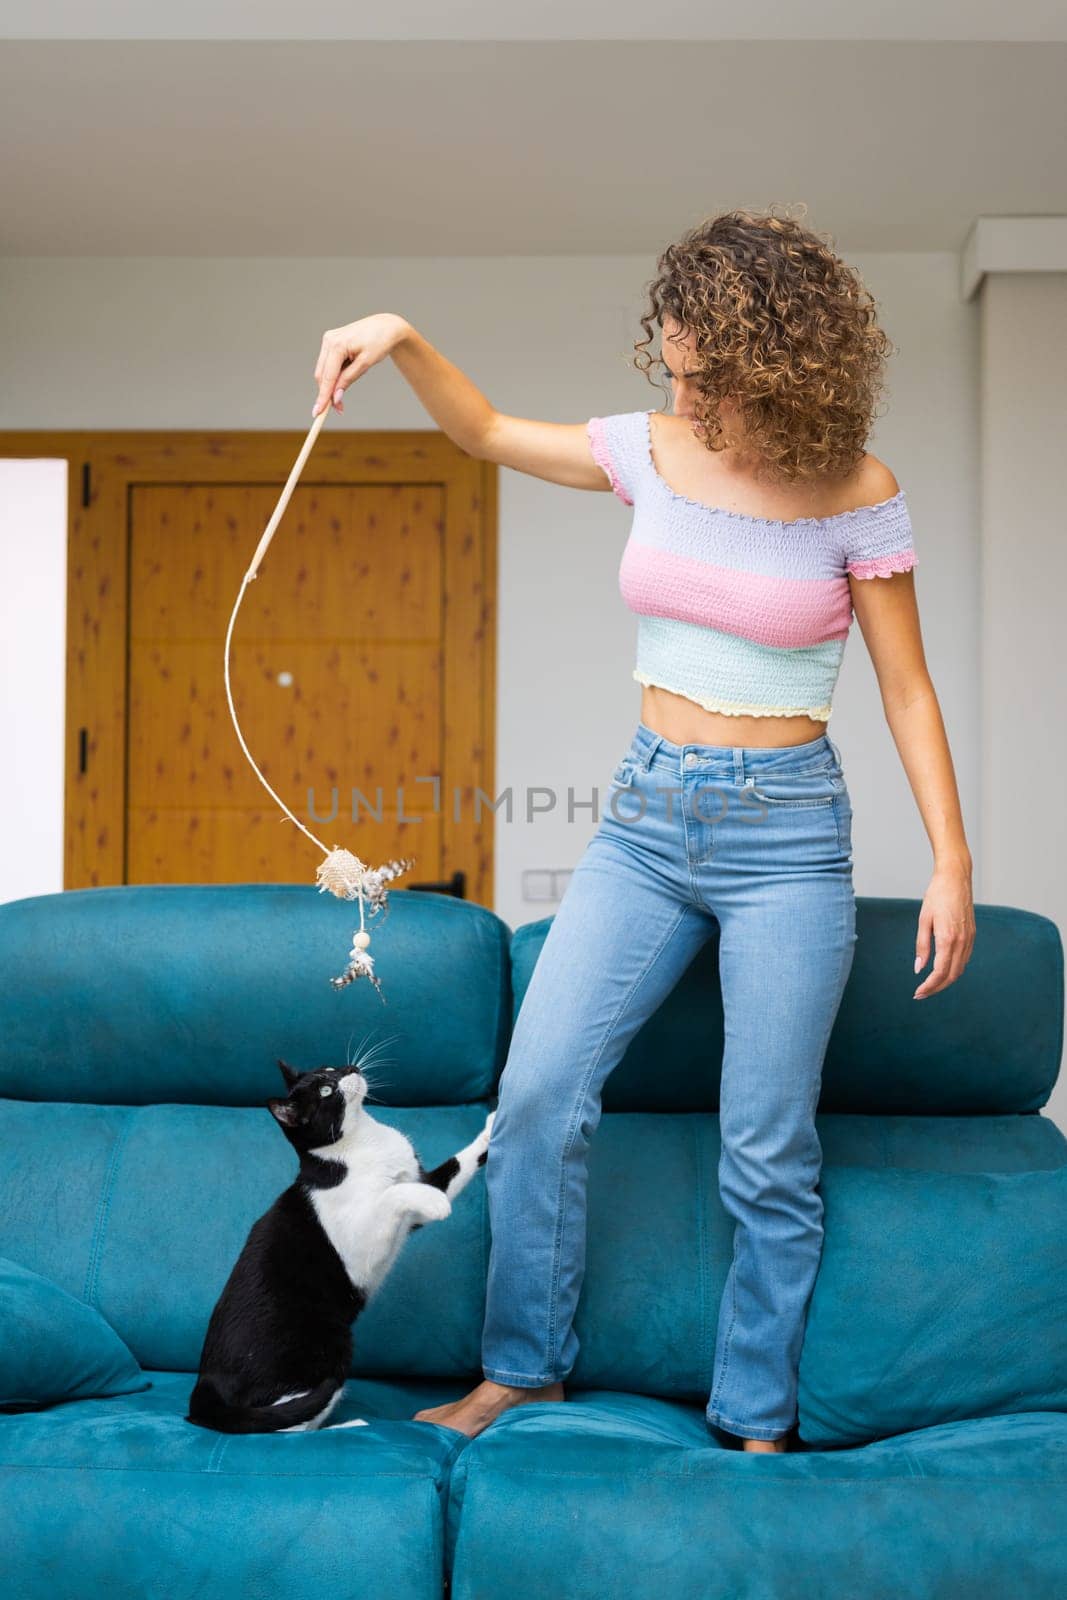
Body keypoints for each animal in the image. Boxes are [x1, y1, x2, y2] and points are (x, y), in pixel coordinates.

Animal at [187, 1056, 495, 1433]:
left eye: (330, 1068)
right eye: (325, 1090)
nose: (350, 1069)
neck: (362, 1142)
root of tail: (204, 1387)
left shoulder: (416, 1190)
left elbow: (453, 1166)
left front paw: (492, 1126)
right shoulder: (360, 1247)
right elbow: (392, 1194)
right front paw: (436, 1204)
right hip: (330, 1348)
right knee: (281, 1425)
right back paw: (350, 1426)